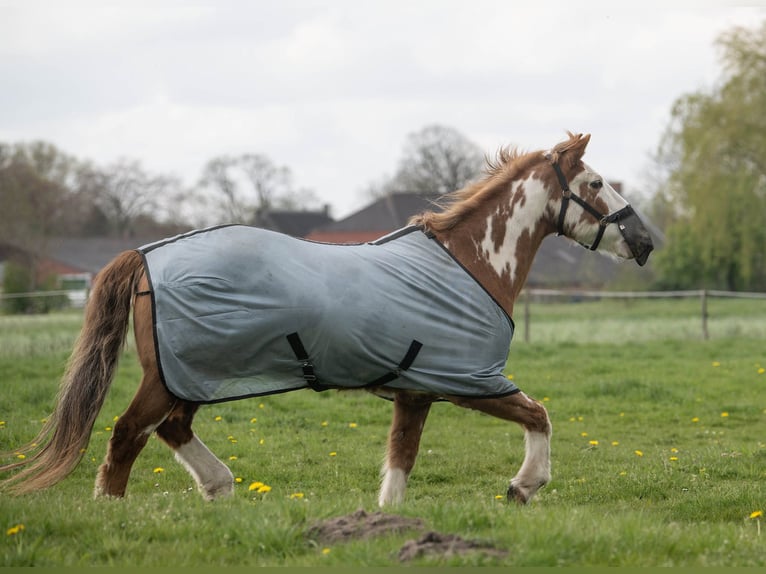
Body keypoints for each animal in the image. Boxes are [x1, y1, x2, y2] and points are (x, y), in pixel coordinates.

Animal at [0, 132, 653, 506]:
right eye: (595, 181)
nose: (645, 241)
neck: (471, 263)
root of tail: (144, 256)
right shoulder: (469, 381)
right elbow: (538, 415)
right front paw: (524, 485)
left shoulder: (417, 392)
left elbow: (399, 467)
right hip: (171, 376)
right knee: (128, 434)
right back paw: (115, 512)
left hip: (191, 375)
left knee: (169, 429)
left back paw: (219, 488)